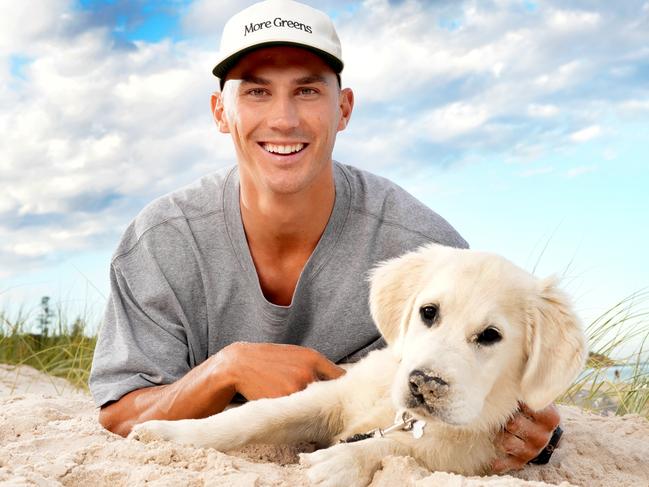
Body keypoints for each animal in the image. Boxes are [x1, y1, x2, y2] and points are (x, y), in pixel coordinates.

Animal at [129, 246, 584, 486]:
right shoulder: (330, 396)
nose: (424, 383)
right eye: (429, 312)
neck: (400, 414)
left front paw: (341, 461)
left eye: (490, 336)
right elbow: (253, 417)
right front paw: (170, 434)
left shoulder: (466, 454)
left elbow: (400, 446)